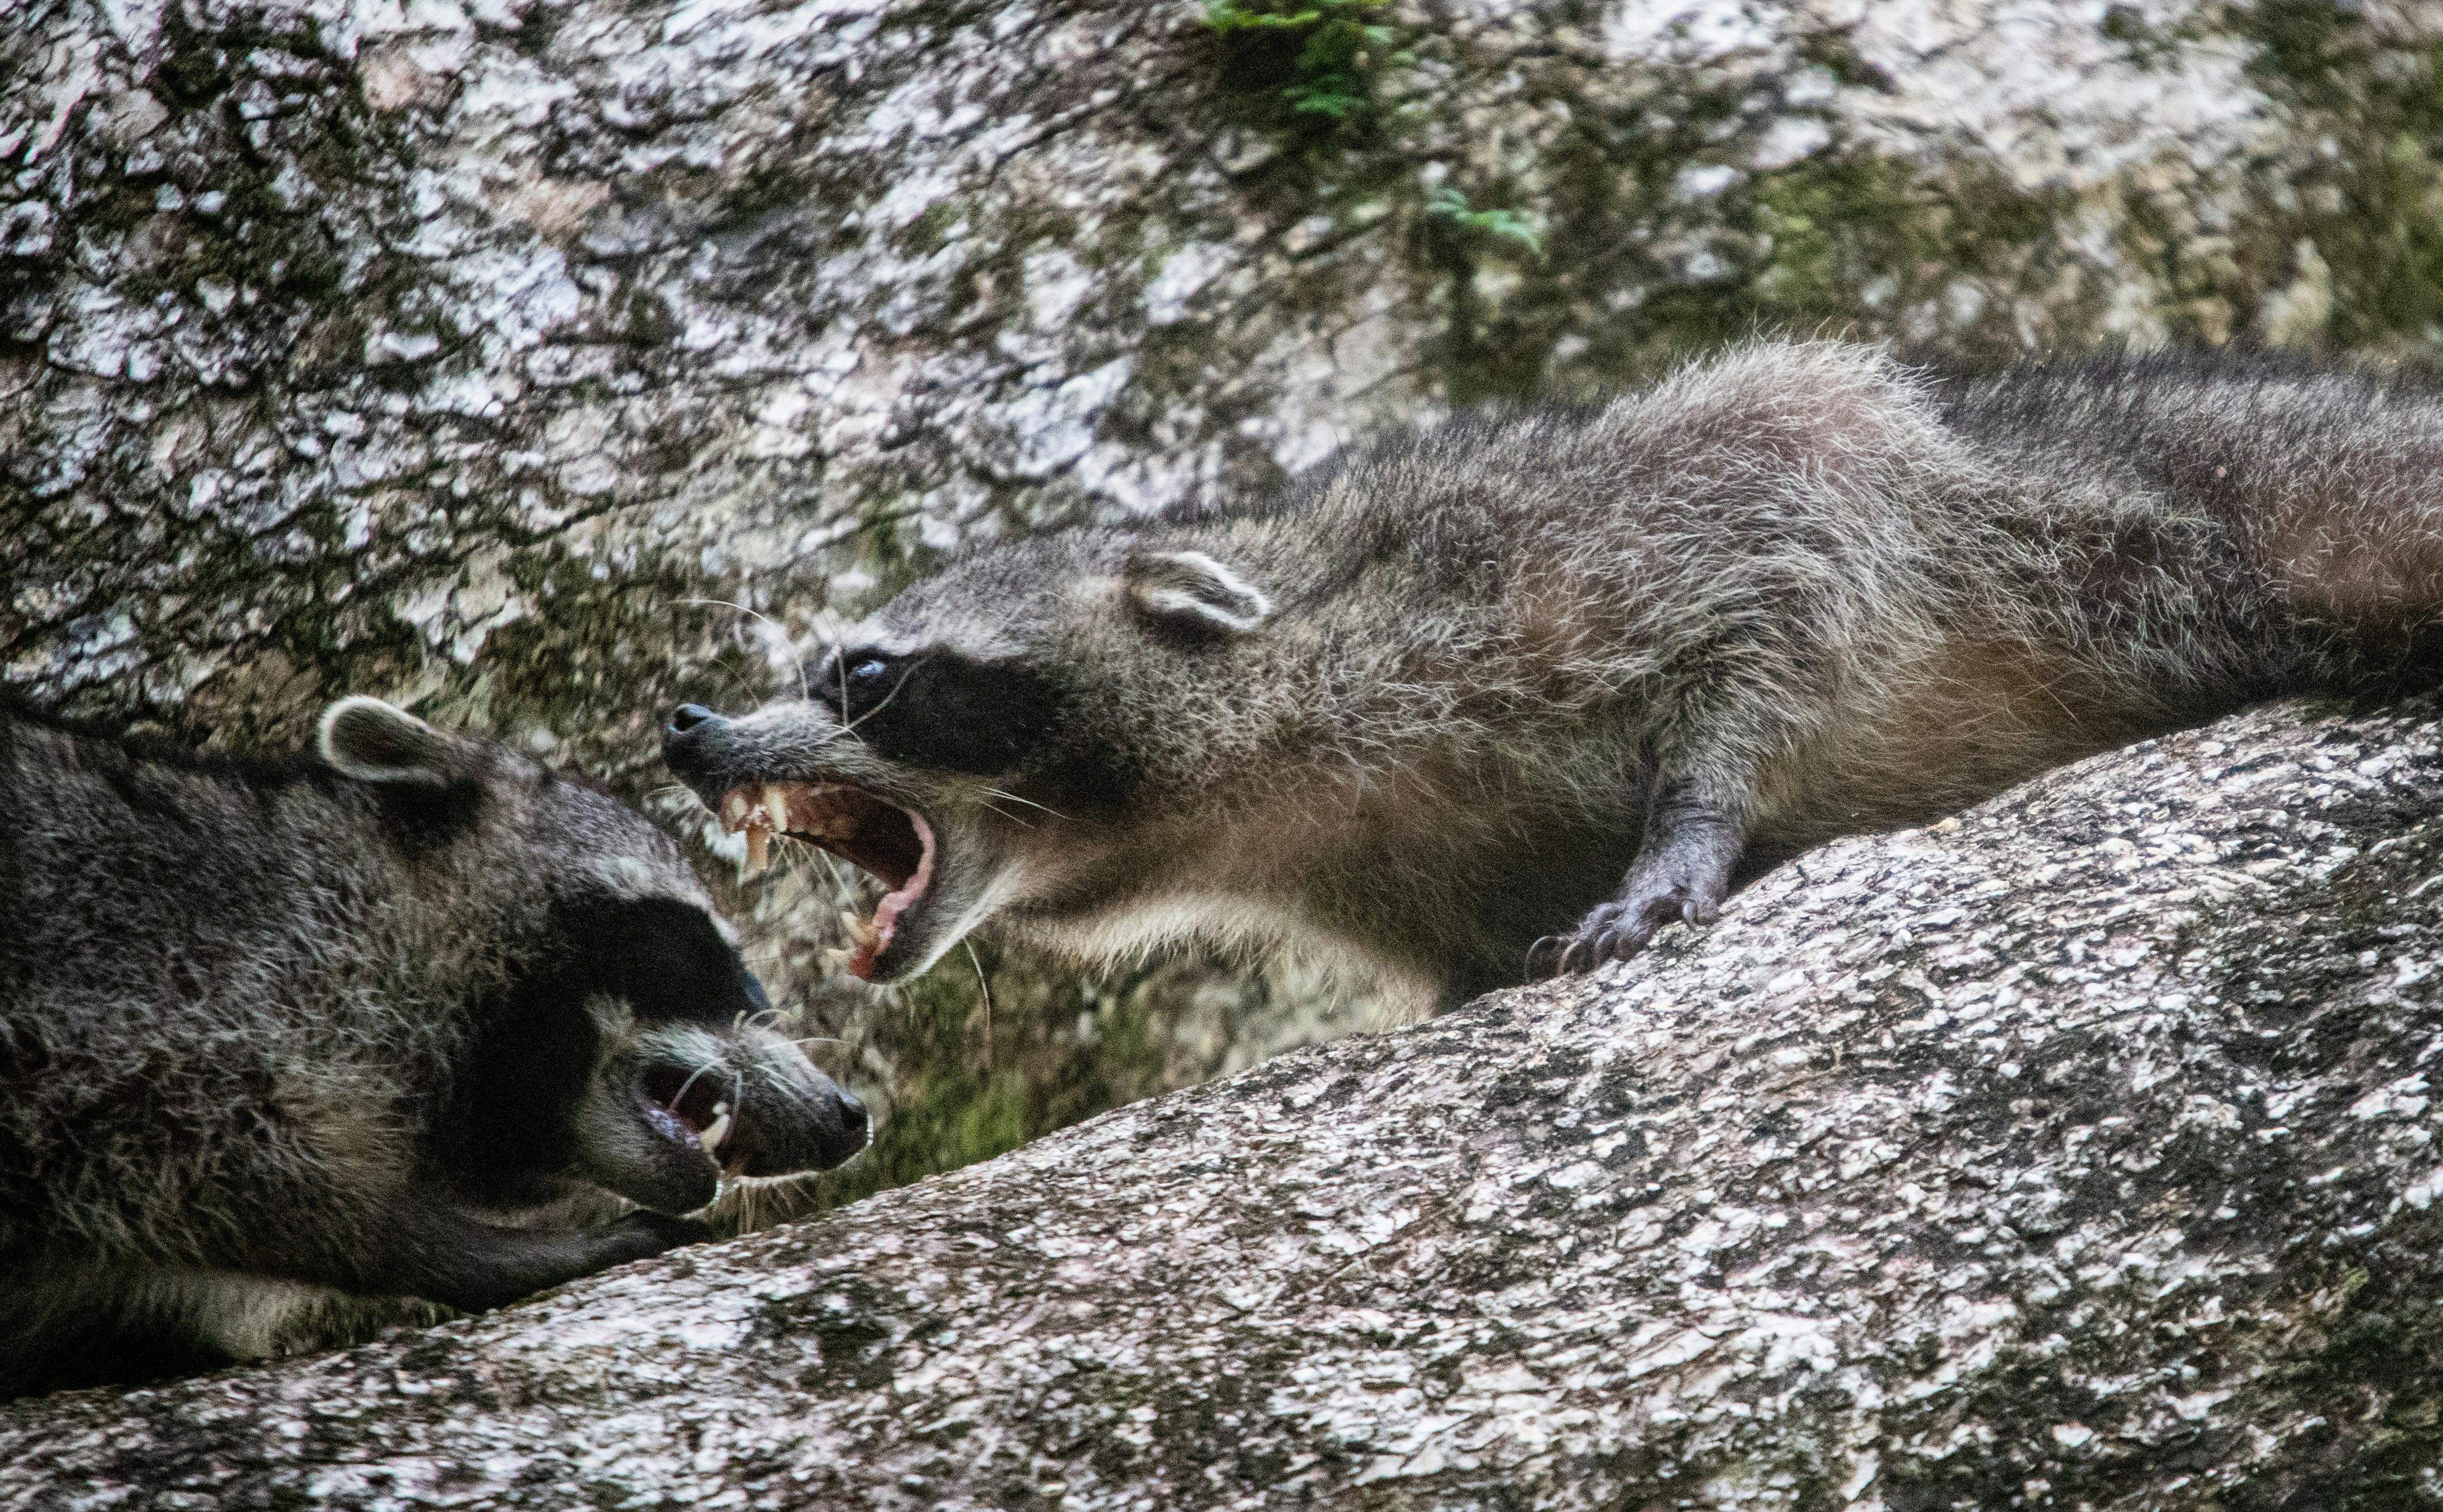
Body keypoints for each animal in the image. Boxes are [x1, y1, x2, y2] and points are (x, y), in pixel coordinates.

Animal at [654, 342, 2443, 1016]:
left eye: (866, 672)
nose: (686, 724)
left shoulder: (1662, 523)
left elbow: (1772, 615)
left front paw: (1687, 830)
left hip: (2177, 519)